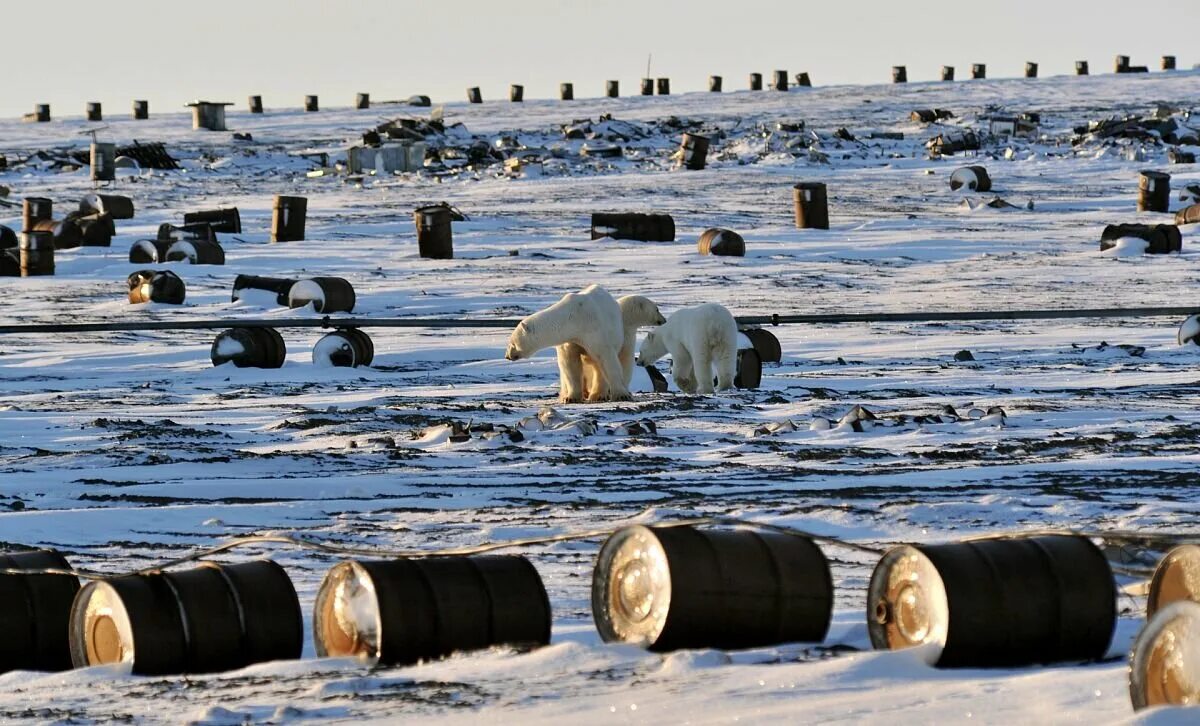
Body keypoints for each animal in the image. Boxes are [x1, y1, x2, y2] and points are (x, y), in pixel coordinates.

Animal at [504, 284, 662, 403]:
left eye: (511, 343)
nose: (507, 356)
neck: (574, 318)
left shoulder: (593, 330)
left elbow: (606, 359)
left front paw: (620, 395)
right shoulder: (570, 340)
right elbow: (570, 364)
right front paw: (570, 398)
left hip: (623, 333)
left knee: (618, 361)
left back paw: (601, 394)